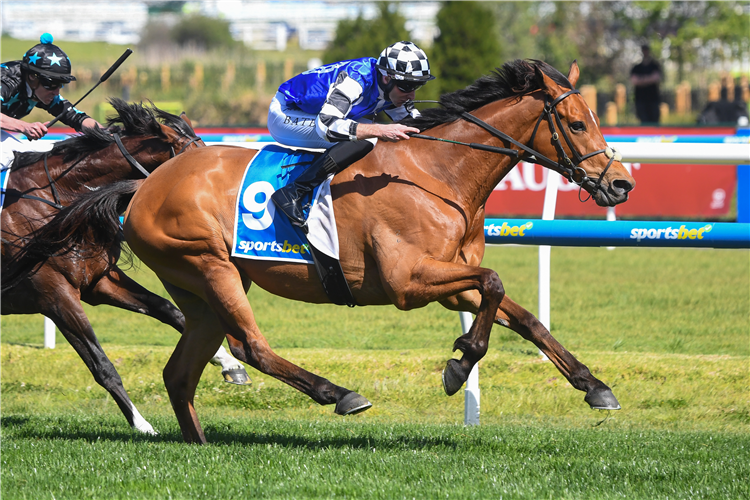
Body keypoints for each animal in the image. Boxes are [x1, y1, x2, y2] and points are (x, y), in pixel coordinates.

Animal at [0, 97, 253, 434]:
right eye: (193, 163)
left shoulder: (99, 282)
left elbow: (169, 310)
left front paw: (231, 364)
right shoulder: (53, 295)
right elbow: (102, 365)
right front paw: (142, 424)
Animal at [42, 59, 640, 442]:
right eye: (577, 123)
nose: (620, 185)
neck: (439, 172)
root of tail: (143, 185)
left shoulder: (450, 280)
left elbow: (522, 314)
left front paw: (595, 387)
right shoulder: (408, 281)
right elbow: (493, 284)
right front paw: (459, 363)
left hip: (201, 288)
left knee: (180, 372)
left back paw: (200, 443)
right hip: (209, 266)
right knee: (249, 347)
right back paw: (339, 394)